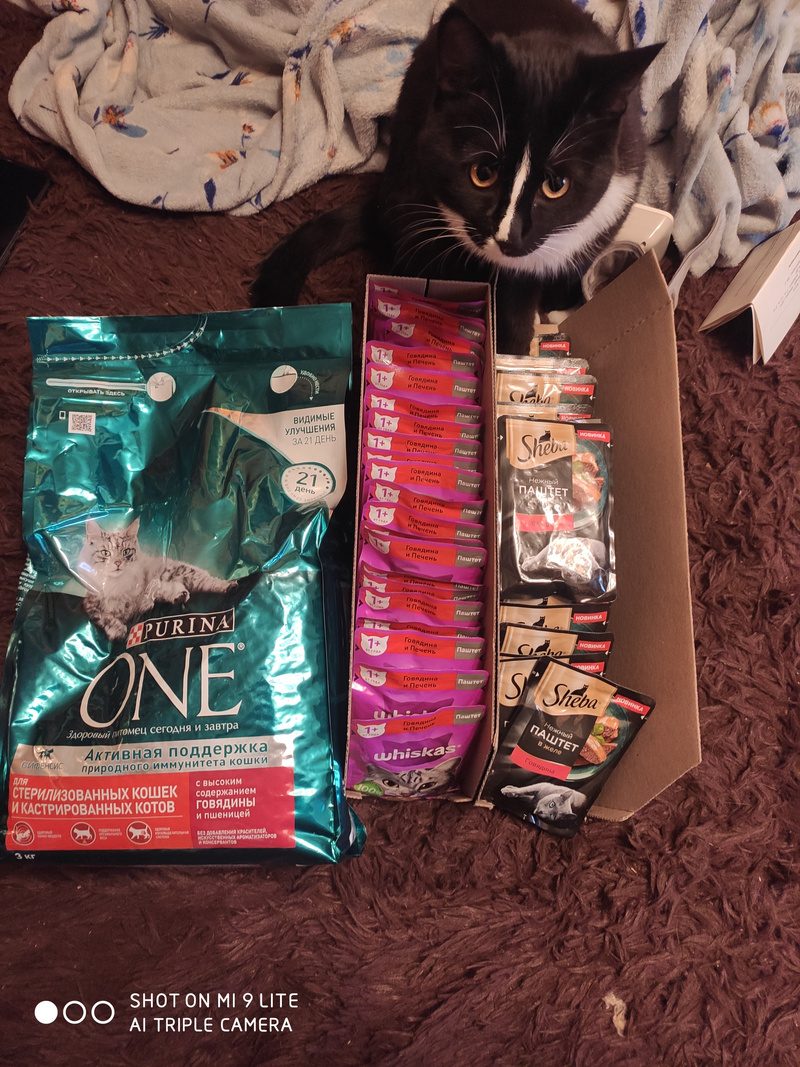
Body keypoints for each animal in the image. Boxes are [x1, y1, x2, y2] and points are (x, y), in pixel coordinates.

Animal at [77, 518, 236, 642]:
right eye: (106, 553)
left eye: (126, 552)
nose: (117, 563)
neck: (116, 584)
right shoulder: (91, 606)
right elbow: (105, 618)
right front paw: (117, 631)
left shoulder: (138, 597)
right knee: (175, 588)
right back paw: (180, 595)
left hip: (182, 574)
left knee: (208, 581)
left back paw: (229, 586)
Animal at [251, 0, 662, 353]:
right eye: (482, 174)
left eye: (556, 185)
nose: (506, 238)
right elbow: (502, 307)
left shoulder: (614, 200)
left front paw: (554, 307)